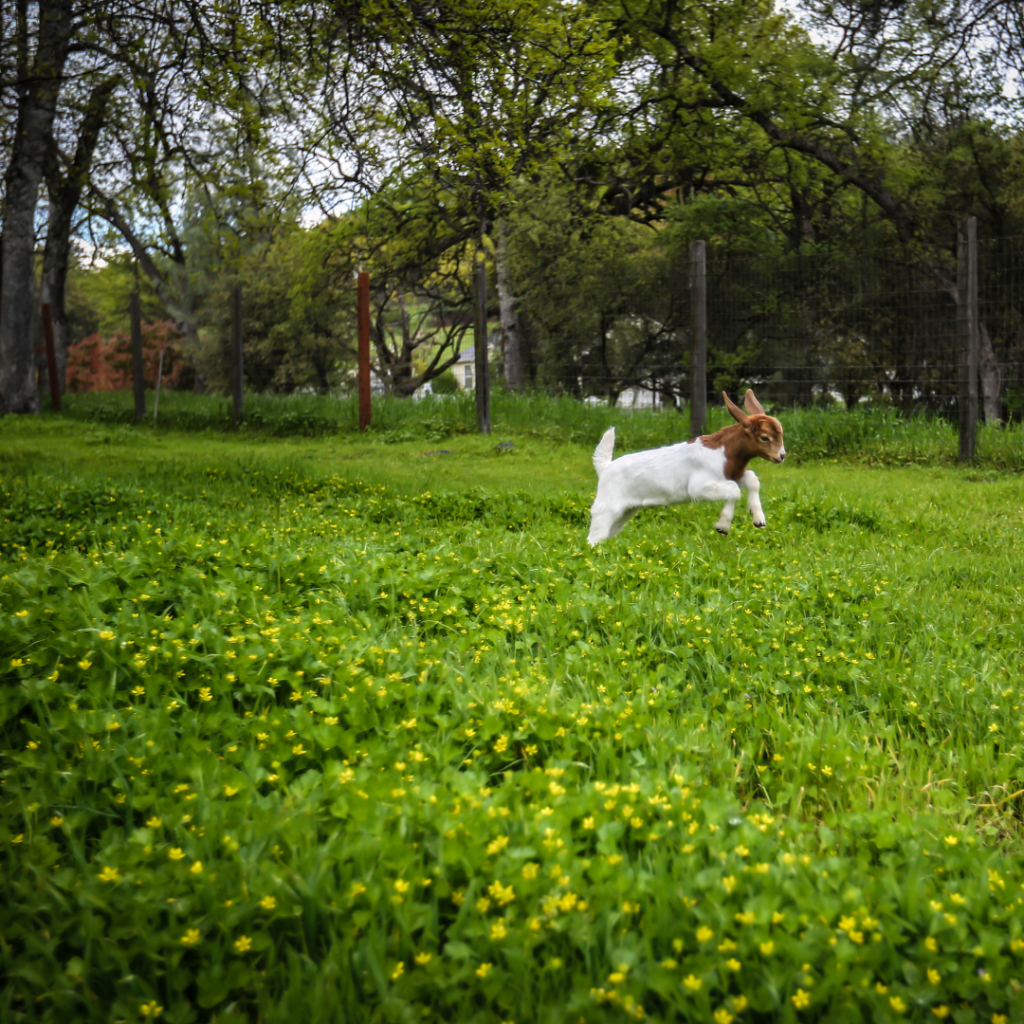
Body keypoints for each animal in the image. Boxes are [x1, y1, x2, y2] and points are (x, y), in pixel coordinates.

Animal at [589, 389, 786, 548]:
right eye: (765, 437)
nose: (781, 456)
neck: (726, 452)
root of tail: (605, 467)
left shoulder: (733, 473)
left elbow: (751, 479)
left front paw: (758, 519)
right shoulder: (699, 487)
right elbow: (735, 490)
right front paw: (722, 526)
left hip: (625, 511)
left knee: (606, 534)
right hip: (607, 506)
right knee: (595, 536)